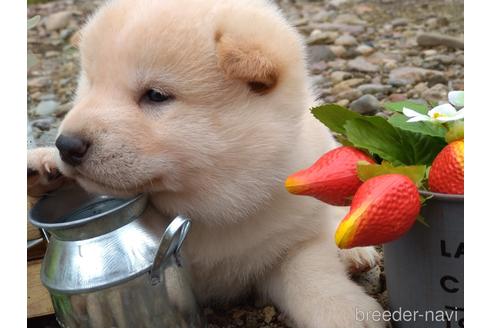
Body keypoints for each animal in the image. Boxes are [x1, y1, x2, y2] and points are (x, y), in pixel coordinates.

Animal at [27, 1, 384, 326]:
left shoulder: (286, 240)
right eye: (89, 85)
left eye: (155, 95)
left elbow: (311, 273)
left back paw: (354, 252)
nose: (67, 145)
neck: (206, 209)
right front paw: (45, 167)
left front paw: (347, 312)